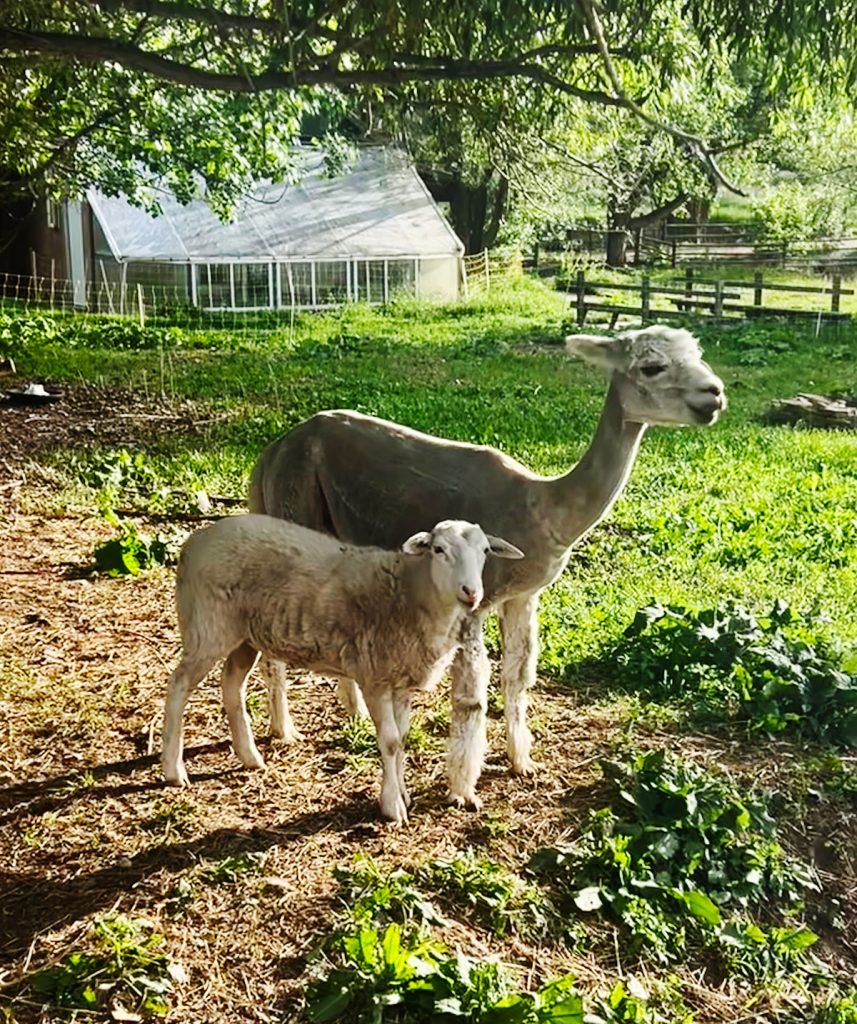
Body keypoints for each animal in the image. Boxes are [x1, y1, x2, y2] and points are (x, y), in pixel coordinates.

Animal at [161, 514, 524, 822]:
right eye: (438, 550)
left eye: (485, 551)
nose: (471, 593)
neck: (410, 593)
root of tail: (197, 539)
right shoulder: (373, 676)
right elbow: (390, 741)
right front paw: (392, 806)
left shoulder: (400, 681)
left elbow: (402, 739)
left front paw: (403, 794)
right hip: (208, 625)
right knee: (178, 684)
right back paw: (173, 769)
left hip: (244, 636)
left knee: (232, 685)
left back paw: (249, 756)